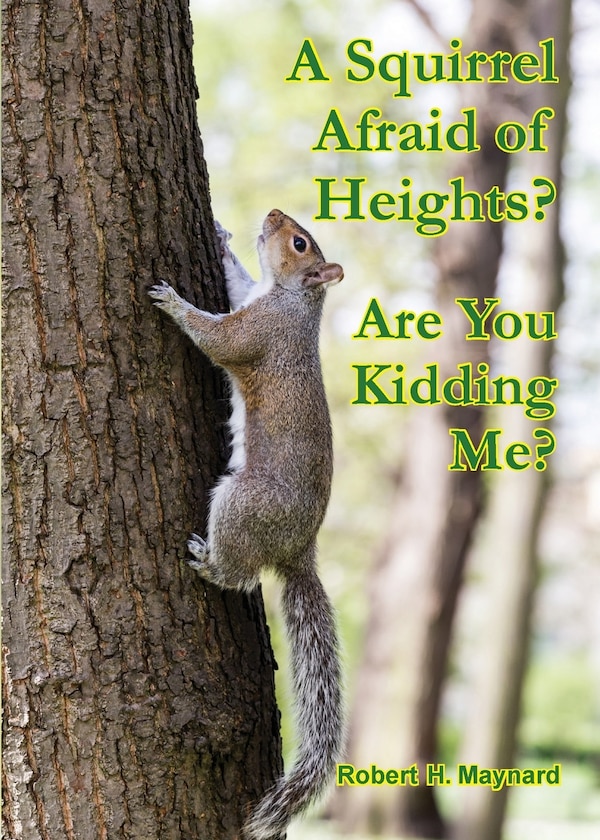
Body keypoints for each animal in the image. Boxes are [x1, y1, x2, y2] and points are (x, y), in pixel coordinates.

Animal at [148, 209, 344, 840]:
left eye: (300, 242)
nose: (273, 215)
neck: (291, 299)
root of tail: (299, 549)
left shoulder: (257, 332)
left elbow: (218, 339)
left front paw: (172, 301)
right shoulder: (250, 297)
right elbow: (234, 279)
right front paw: (219, 235)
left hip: (241, 502)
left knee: (243, 576)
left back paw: (208, 563)